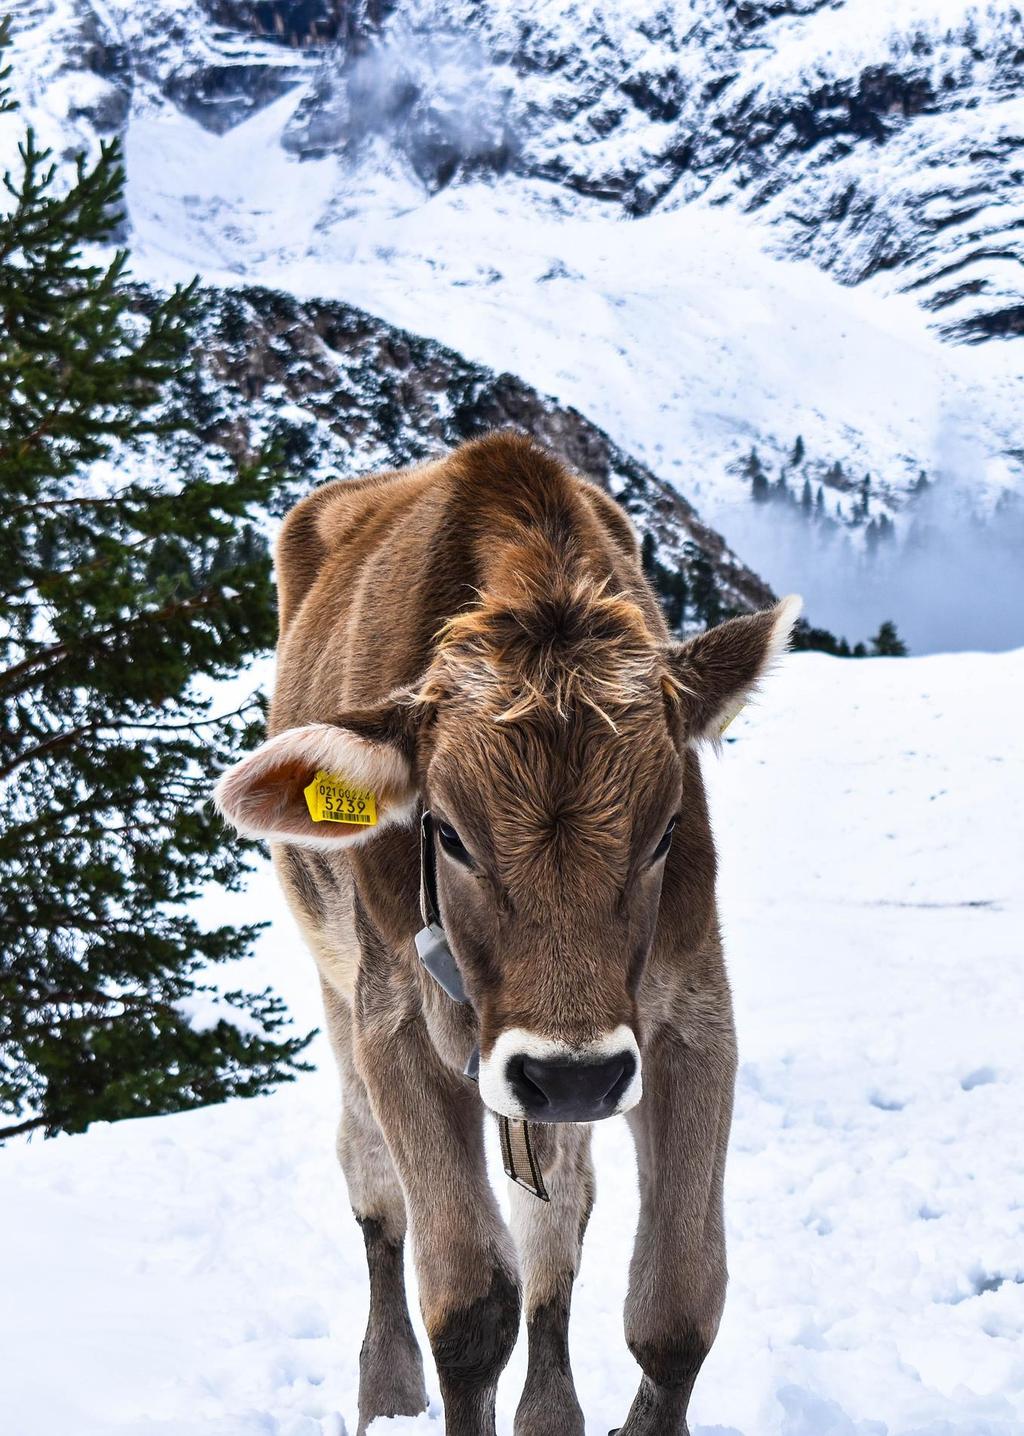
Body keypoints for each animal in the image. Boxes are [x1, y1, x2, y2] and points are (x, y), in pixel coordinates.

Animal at [213, 433, 798, 1436]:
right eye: (446, 832)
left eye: (665, 831)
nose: (573, 1076)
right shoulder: (396, 1021)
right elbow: (469, 1304)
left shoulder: (685, 1017)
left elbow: (676, 1305)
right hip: (341, 990)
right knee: (373, 1183)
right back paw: (385, 1390)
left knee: (555, 1224)